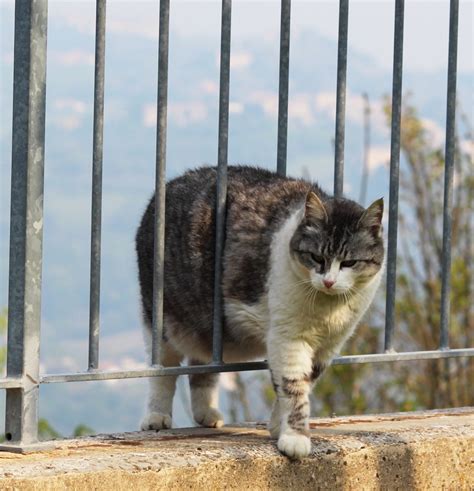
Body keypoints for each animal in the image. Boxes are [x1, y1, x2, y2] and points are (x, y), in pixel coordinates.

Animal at [134, 166, 386, 462]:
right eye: (316, 257)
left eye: (349, 262)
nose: (329, 282)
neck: (327, 309)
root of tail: (169, 184)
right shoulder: (288, 338)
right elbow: (293, 387)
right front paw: (295, 438)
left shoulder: (328, 346)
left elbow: (301, 384)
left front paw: (278, 426)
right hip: (162, 318)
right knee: (163, 370)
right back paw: (156, 416)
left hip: (205, 326)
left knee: (202, 366)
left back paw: (206, 413)